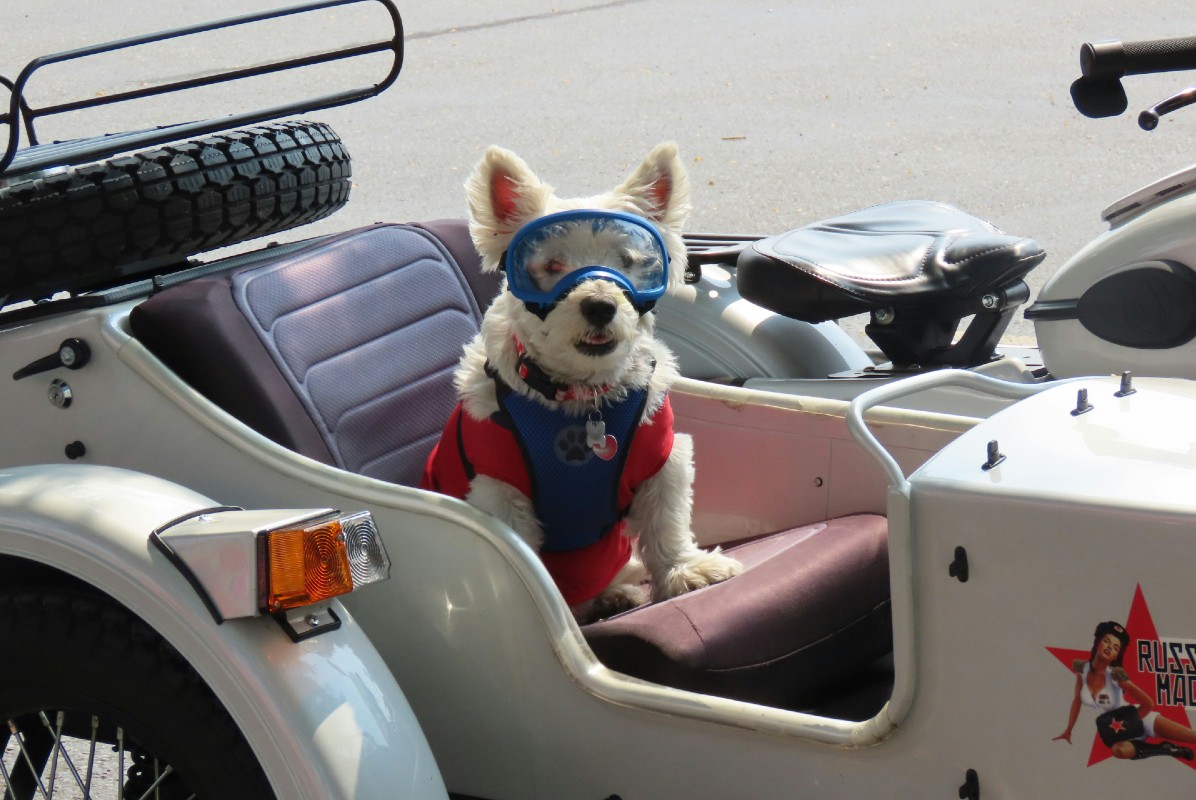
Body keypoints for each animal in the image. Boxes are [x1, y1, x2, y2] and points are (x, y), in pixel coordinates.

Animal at [420, 140, 736, 621]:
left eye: (631, 262)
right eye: (551, 264)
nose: (600, 305)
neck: (580, 396)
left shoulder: (662, 459)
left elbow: (667, 523)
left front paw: (687, 571)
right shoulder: (501, 492)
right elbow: (528, 573)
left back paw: (615, 594)